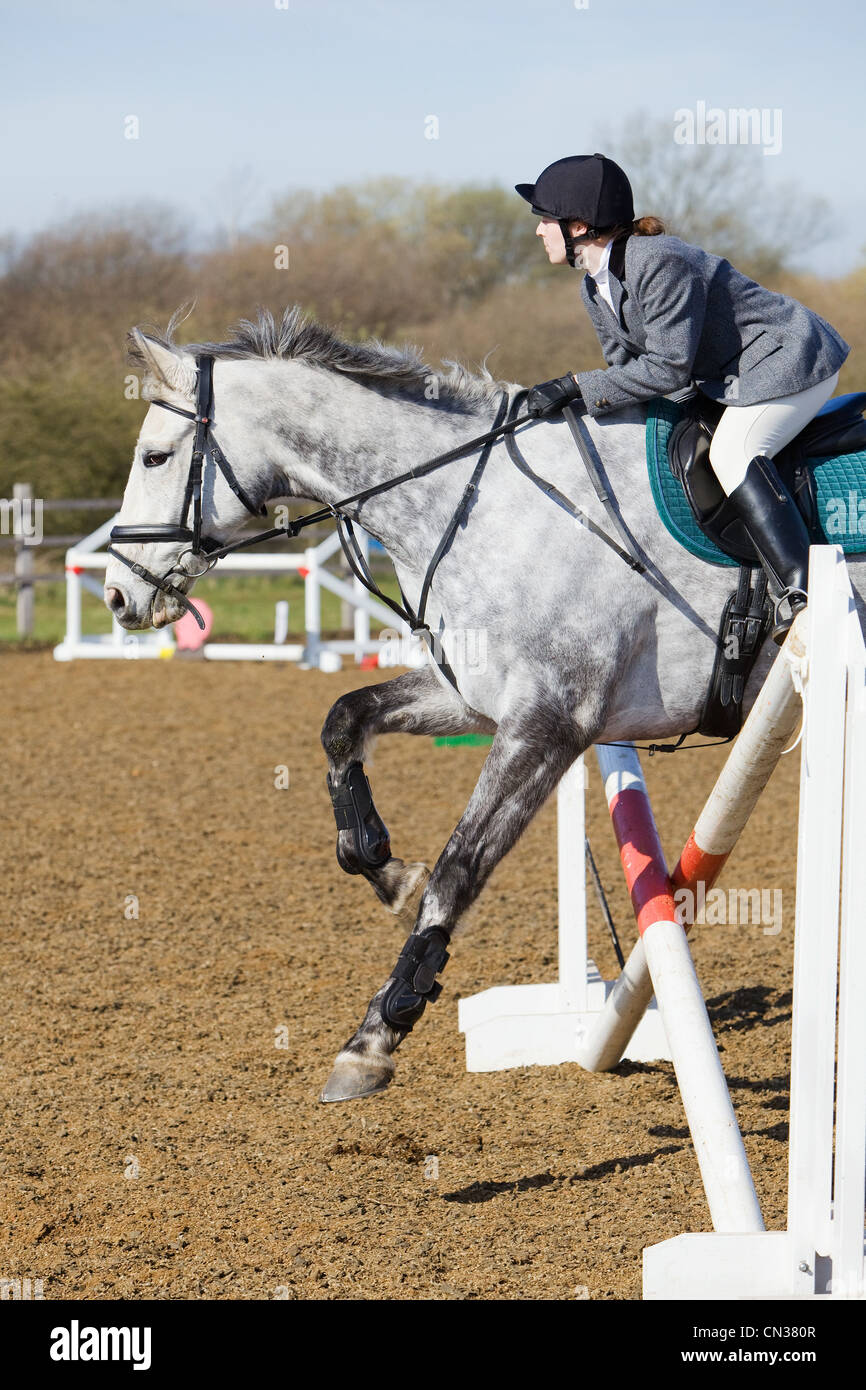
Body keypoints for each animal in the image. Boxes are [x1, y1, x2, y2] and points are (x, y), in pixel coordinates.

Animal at [105, 306, 866, 1103]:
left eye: (155, 458)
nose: (119, 596)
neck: (475, 503)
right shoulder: (473, 699)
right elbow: (344, 721)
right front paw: (381, 866)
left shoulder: (547, 725)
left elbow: (459, 867)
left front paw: (376, 1035)